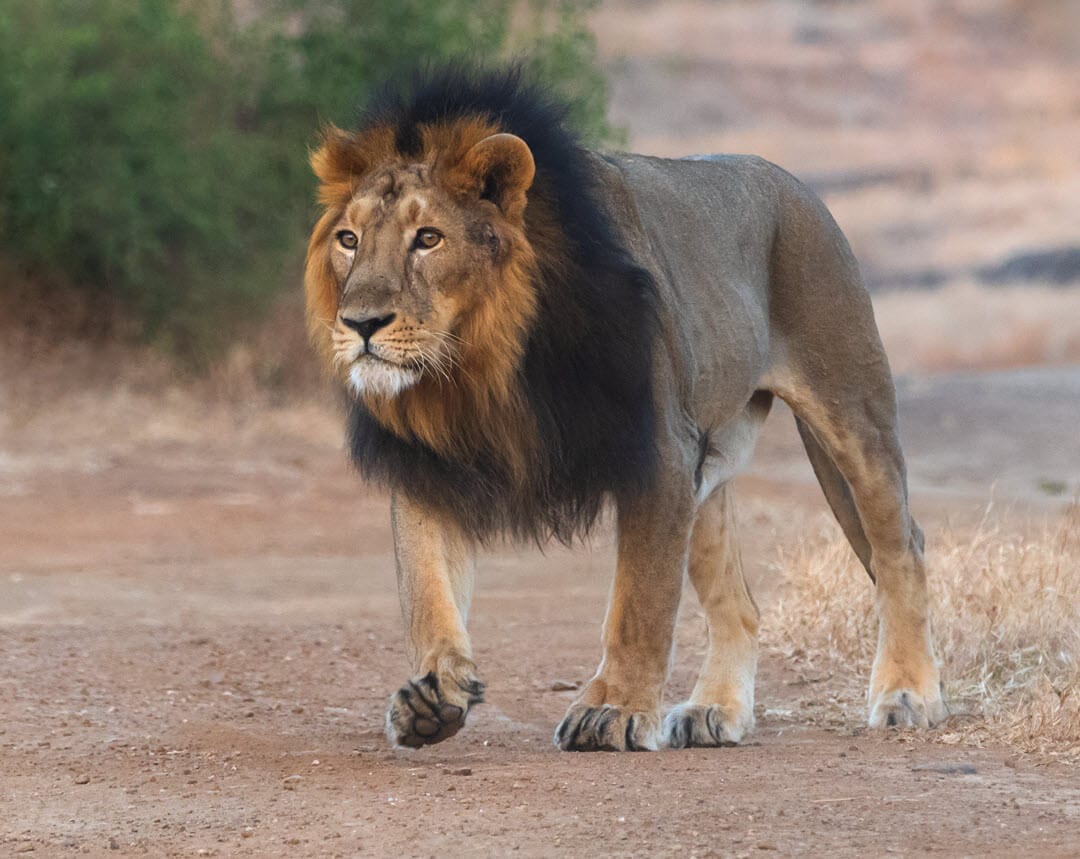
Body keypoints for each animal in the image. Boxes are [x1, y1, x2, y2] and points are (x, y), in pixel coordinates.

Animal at [304, 68, 946, 752]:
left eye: (428, 239)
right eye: (348, 240)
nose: (359, 323)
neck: (482, 364)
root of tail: (797, 185)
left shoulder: (659, 453)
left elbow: (639, 604)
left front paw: (611, 710)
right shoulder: (428, 463)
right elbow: (426, 591)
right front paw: (432, 695)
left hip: (851, 413)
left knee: (901, 549)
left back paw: (908, 694)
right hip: (708, 466)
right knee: (740, 603)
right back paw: (714, 710)